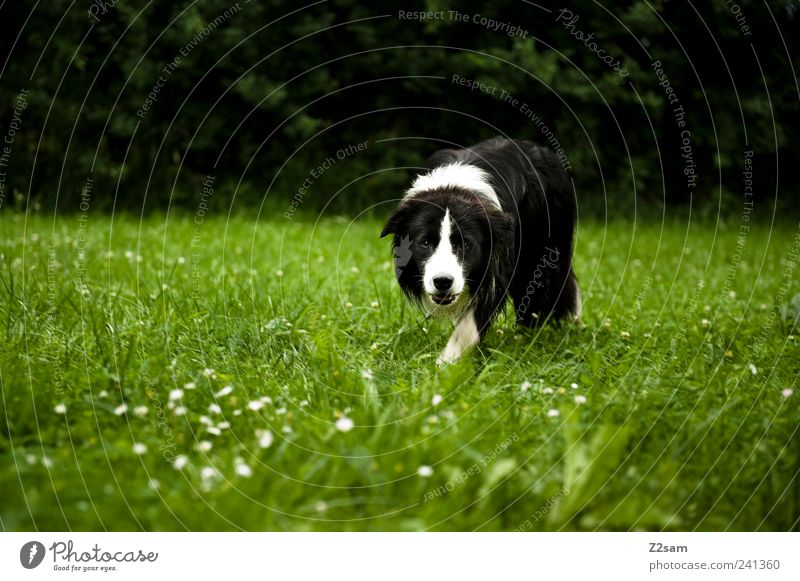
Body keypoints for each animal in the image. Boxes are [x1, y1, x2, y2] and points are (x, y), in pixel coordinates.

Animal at [382, 136, 580, 362]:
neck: (453, 187)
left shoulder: (498, 263)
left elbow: (473, 319)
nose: (443, 282)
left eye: (466, 244)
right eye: (425, 243)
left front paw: (447, 362)